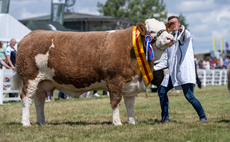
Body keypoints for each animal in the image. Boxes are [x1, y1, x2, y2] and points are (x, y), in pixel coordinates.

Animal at [11, 18, 175, 126]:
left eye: (166, 29)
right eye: (151, 31)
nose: (170, 38)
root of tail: (30, 35)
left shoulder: (131, 82)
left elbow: (129, 104)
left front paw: (132, 121)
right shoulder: (115, 80)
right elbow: (116, 102)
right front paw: (117, 122)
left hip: (43, 81)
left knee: (39, 101)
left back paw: (42, 122)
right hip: (30, 78)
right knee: (26, 98)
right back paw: (26, 123)